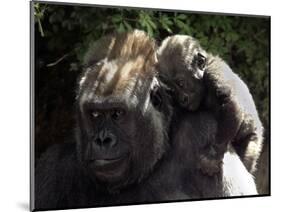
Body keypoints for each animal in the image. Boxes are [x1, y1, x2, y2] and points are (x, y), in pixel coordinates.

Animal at [158, 35, 262, 176]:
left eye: (181, 83)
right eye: (172, 90)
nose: (182, 100)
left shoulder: (214, 72)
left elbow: (230, 103)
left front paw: (212, 156)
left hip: (254, 137)